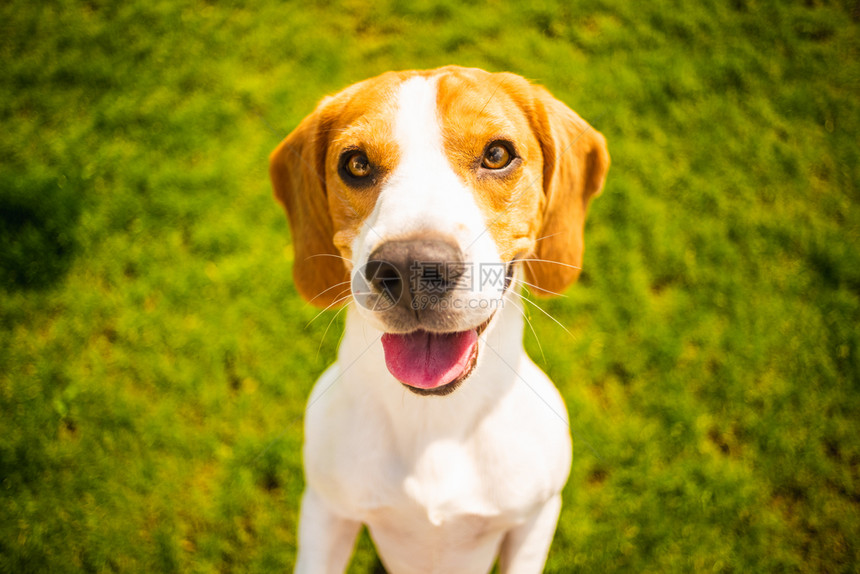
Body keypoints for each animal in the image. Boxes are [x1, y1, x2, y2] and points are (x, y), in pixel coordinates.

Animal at [272, 66, 608, 574]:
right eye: (356, 164)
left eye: (497, 154)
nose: (412, 267)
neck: (435, 420)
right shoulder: (326, 512)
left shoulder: (537, 516)